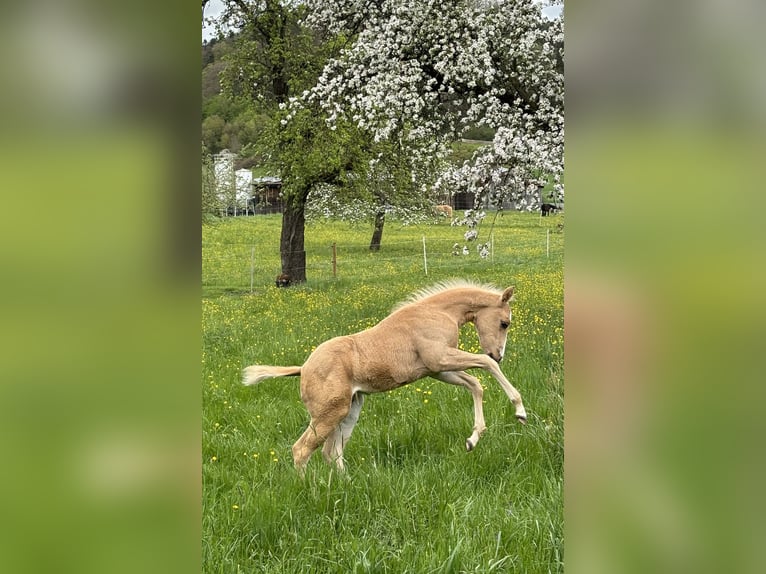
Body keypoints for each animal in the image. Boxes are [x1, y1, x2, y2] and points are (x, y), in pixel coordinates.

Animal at [246, 282, 528, 474]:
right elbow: (485, 366)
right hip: (327, 414)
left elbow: (475, 384)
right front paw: (520, 411)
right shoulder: (440, 359)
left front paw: (472, 440)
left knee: (331, 452)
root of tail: (303, 368)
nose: (498, 354)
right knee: (302, 450)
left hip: (348, 411)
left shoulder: (438, 370)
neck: (438, 312)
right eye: (505, 323)